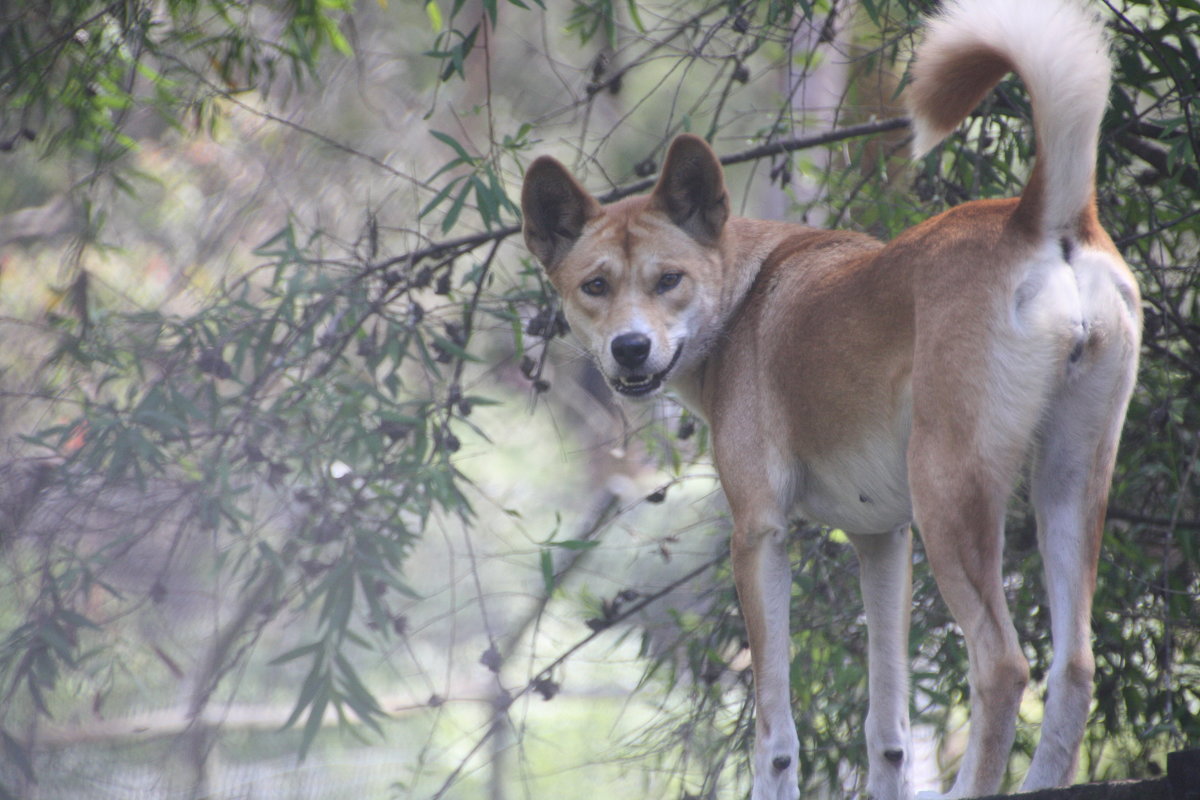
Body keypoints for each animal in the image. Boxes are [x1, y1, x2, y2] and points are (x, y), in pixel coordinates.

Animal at [520, 1, 1137, 800]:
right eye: (595, 286)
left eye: (668, 280)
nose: (630, 349)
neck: (746, 292)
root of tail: (1041, 219)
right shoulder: (881, 539)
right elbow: (889, 731)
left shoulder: (759, 534)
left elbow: (774, 731)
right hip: (1069, 484)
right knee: (1074, 666)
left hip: (952, 493)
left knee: (1002, 665)